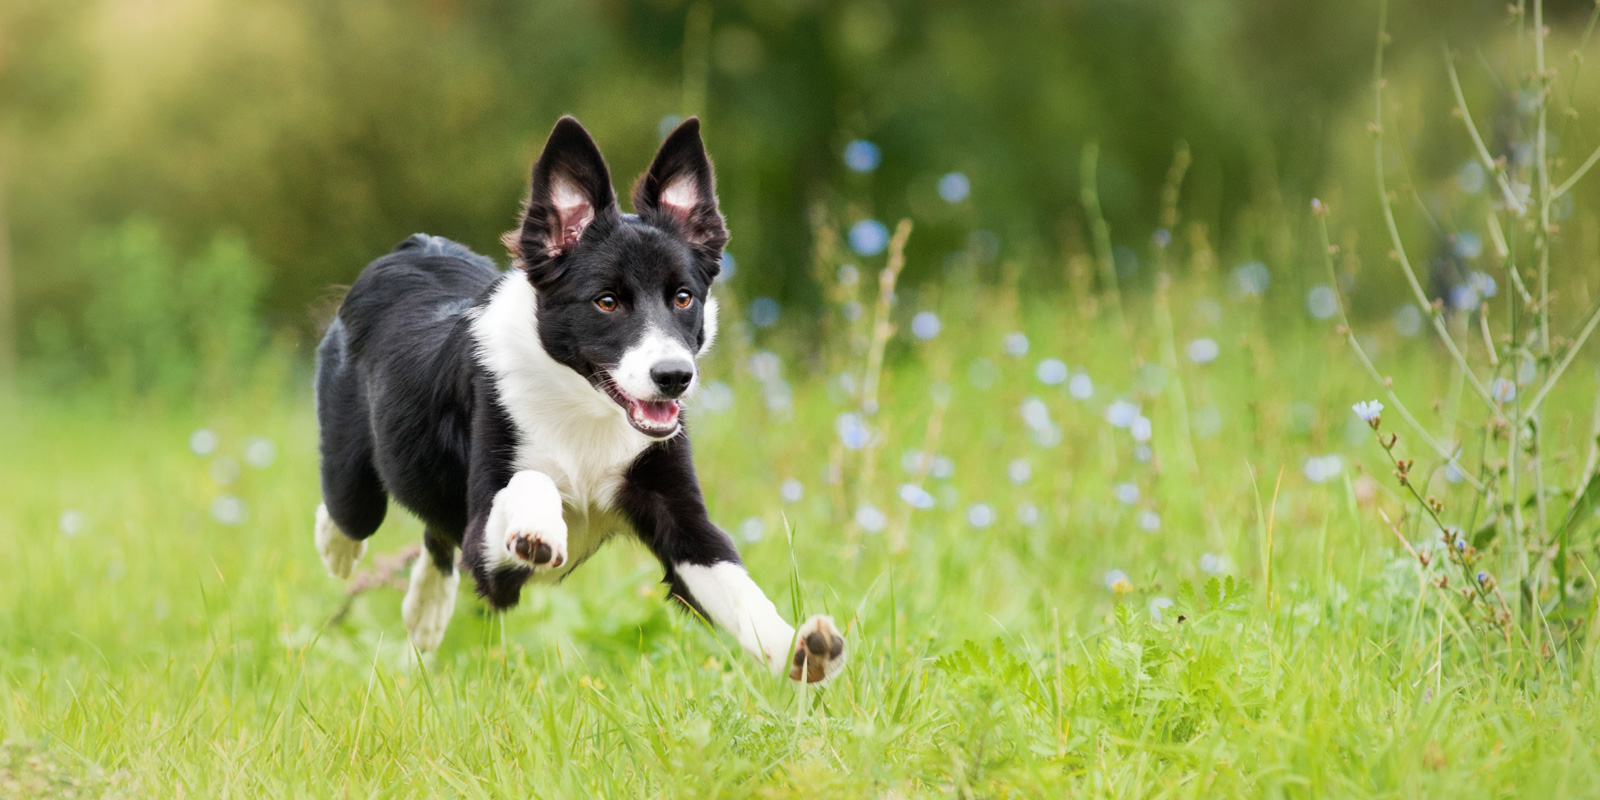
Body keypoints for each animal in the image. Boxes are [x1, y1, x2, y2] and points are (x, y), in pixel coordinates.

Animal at [304, 116, 844, 681]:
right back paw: (338, 551)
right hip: (353, 476)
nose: (674, 376)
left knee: (435, 533)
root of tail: (416, 246)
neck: (585, 409)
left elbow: (737, 587)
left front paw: (802, 647)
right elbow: (530, 482)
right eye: (606, 302)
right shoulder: (489, 552)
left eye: (683, 297)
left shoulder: (678, 513)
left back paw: (425, 614)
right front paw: (538, 529)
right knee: (351, 514)